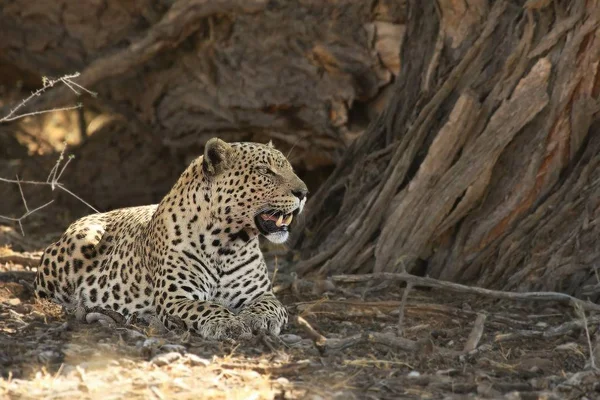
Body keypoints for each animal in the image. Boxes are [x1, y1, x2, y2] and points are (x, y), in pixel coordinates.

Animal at [33, 137, 308, 338]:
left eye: (290, 168)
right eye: (265, 171)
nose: (304, 192)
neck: (228, 243)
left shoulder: (262, 294)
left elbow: (272, 305)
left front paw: (257, 318)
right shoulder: (177, 298)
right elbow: (207, 306)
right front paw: (228, 323)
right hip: (79, 244)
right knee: (41, 293)